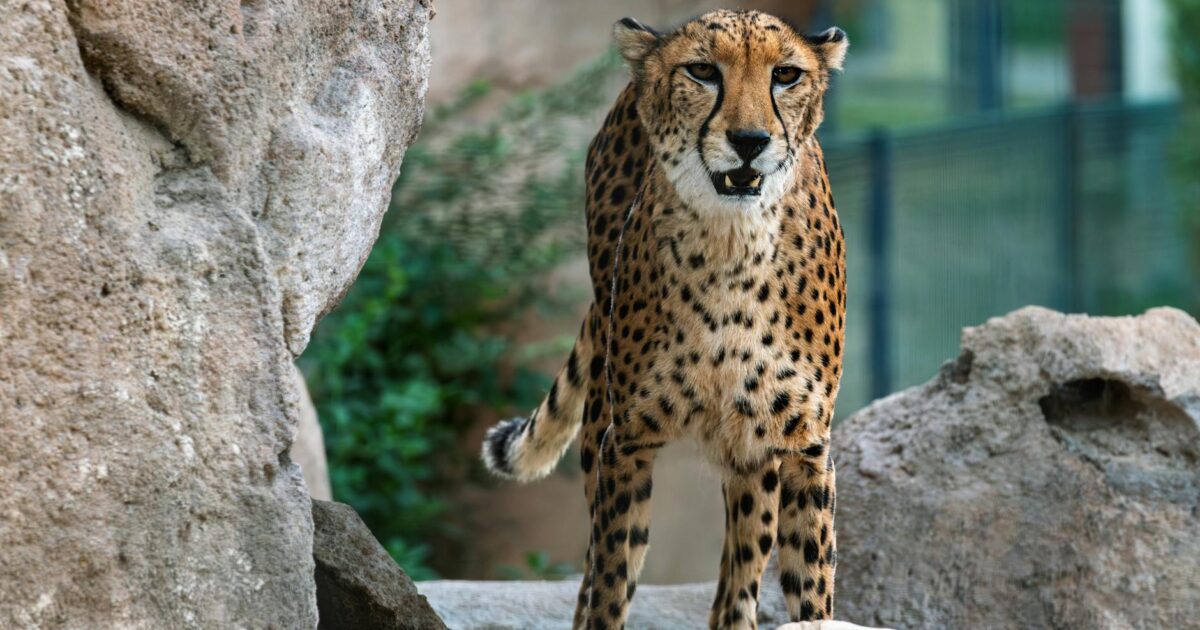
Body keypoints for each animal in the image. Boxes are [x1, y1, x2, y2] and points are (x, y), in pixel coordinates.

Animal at [482, 10, 848, 629]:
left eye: (786, 74)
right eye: (702, 71)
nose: (750, 142)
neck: (732, 246)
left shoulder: (803, 446)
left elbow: (810, 589)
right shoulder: (623, 441)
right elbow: (610, 581)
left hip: (752, 455)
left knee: (741, 567)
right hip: (602, 421)